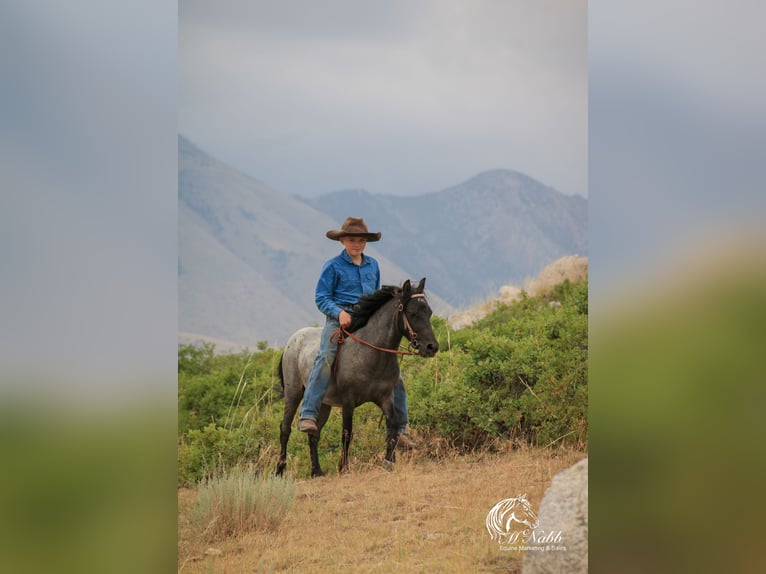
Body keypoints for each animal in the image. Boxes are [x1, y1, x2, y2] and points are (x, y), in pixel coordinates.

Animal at [274, 278, 438, 476]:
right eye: (412, 313)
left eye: (428, 312)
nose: (432, 347)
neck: (371, 354)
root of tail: (291, 342)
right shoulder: (348, 401)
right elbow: (347, 433)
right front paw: (344, 467)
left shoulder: (386, 398)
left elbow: (392, 426)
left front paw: (389, 462)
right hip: (294, 393)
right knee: (285, 429)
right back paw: (280, 469)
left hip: (324, 403)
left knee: (314, 434)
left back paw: (317, 471)